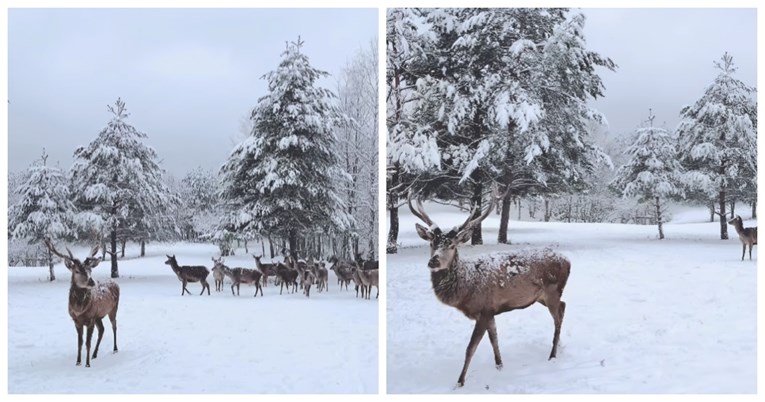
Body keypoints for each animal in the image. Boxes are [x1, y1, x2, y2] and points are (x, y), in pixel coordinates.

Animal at [43, 239, 119, 368]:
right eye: (77, 271)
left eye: (90, 270)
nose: (92, 282)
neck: (79, 311)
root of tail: (114, 282)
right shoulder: (77, 321)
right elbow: (80, 342)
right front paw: (78, 361)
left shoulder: (90, 319)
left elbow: (88, 343)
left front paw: (87, 364)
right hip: (98, 316)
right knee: (102, 330)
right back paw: (94, 354)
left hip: (113, 309)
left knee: (114, 326)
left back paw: (115, 349)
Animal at [408, 190, 572, 388]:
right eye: (432, 243)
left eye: (452, 245)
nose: (433, 262)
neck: (465, 289)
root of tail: (568, 261)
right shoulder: (491, 311)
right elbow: (494, 338)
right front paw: (500, 365)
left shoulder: (484, 309)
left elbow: (471, 348)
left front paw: (460, 382)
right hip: (542, 297)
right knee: (563, 306)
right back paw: (560, 345)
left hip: (552, 291)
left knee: (558, 316)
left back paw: (552, 354)